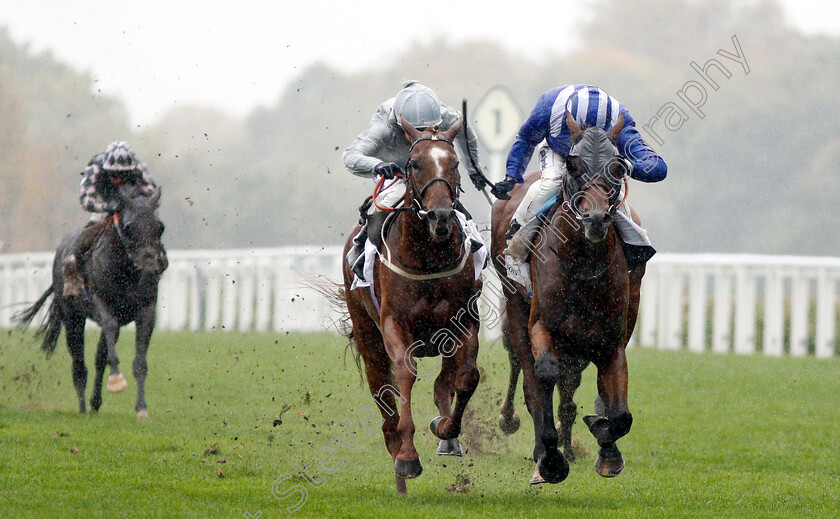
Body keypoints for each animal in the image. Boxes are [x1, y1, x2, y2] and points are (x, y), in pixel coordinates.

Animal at [342, 118, 482, 496]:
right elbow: (405, 372)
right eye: (415, 163)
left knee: (445, 380)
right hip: (367, 334)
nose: (440, 216)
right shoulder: (395, 323)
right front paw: (407, 456)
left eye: (454, 163)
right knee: (383, 395)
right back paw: (398, 469)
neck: (428, 257)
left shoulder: (464, 322)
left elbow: (467, 376)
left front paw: (445, 428)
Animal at [488, 111, 648, 486]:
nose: (596, 218)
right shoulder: (542, 326)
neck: (582, 265)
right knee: (526, 374)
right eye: (574, 166)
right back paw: (519, 428)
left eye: (618, 166)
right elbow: (543, 377)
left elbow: (618, 409)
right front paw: (550, 459)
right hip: (514, 309)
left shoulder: (609, 340)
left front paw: (606, 447)